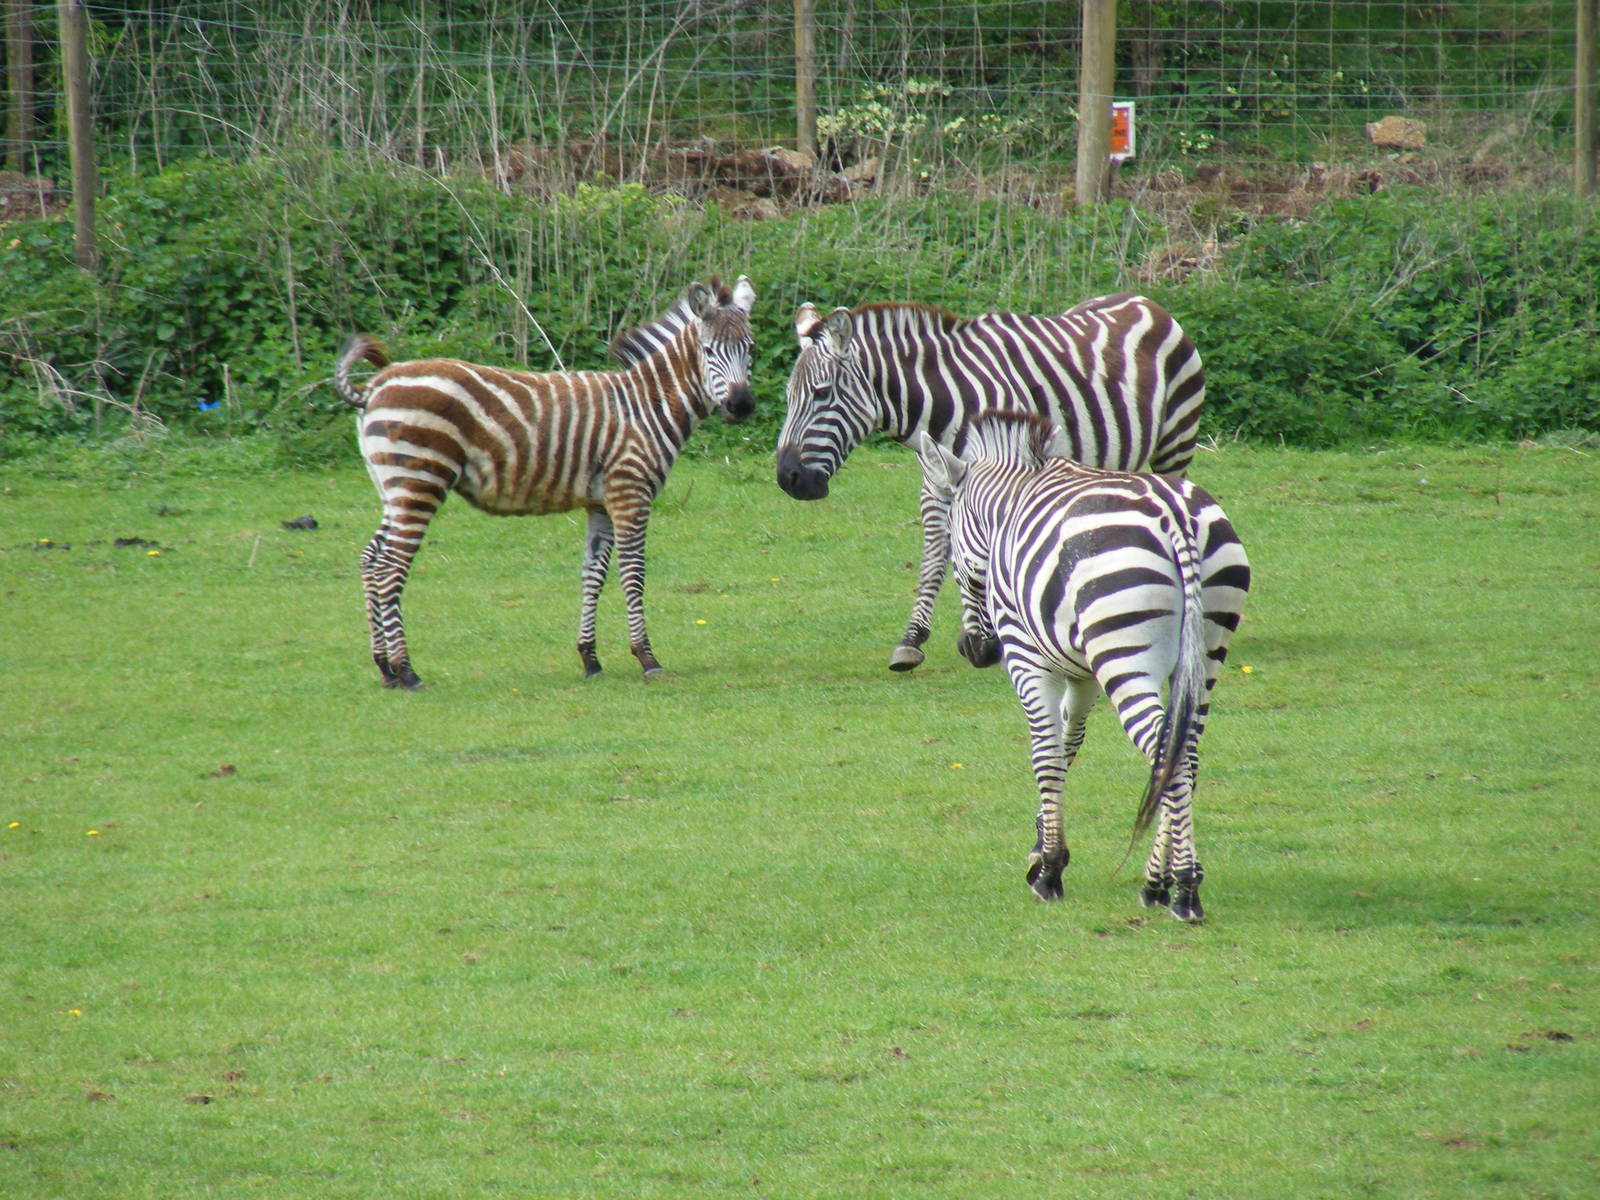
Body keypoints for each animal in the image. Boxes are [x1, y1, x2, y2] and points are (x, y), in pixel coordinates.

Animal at [332, 275, 756, 687]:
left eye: (749, 348)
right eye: (708, 351)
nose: (742, 406)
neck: (647, 406)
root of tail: (376, 385)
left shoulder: (600, 502)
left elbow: (593, 574)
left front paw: (590, 659)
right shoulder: (630, 492)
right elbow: (633, 574)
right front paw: (646, 658)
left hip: (394, 487)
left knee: (370, 560)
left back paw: (385, 668)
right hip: (419, 481)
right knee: (390, 568)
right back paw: (407, 671)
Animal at [775, 293, 1205, 672]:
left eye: (821, 393)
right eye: (788, 396)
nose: (787, 478)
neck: (944, 404)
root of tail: (1144, 301)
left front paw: (991, 636)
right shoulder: (937, 480)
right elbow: (940, 555)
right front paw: (916, 639)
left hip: (1176, 441)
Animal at [914, 411, 1249, 921]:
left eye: (952, 551)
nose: (976, 651)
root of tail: (1175, 513)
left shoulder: (1028, 656)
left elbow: (1046, 753)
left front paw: (1049, 869)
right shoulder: (1082, 672)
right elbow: (1069, 743)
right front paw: (1042, 846)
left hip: (1123, 656)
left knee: (1163, 750)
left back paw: (1184, 892)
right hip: (1207, 650)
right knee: (1184, 753)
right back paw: (1158, 882)